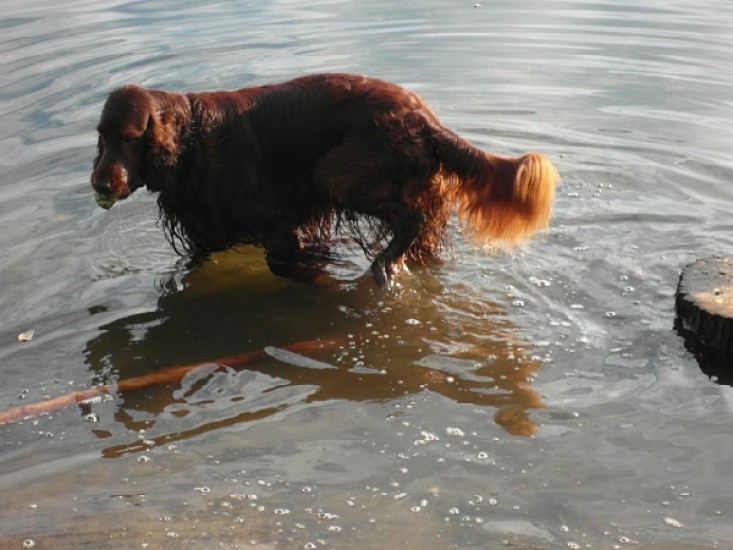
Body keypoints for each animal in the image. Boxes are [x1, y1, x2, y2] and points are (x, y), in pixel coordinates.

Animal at [91, 73, 558, 287]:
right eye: (101, 136)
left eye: (129, 138)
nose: (100, 185)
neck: (191, 140)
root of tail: (423, 118)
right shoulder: (206, 232)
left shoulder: (279, 228)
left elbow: (288, 263)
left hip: (336, 171)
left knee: (410, 220)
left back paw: (381, 268)